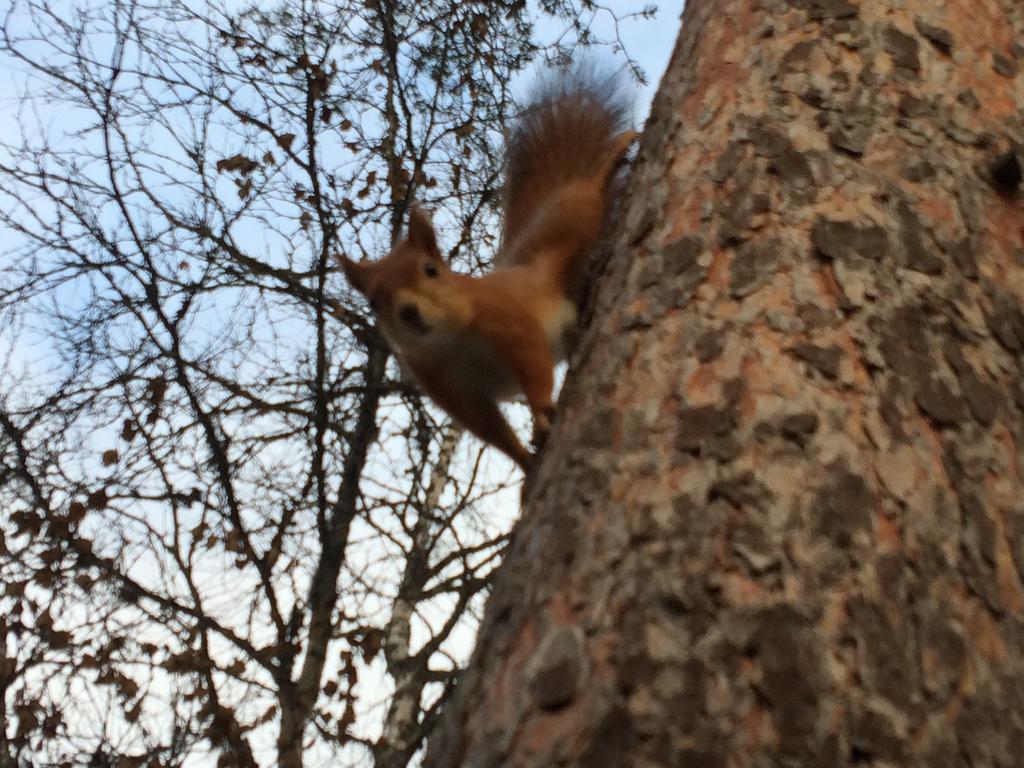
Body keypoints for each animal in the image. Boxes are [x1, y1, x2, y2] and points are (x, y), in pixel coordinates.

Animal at [339, 67, 634, 468]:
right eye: (372, 301)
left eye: (431, 270)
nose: (409, 312)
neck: (452, 339)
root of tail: (524, 265)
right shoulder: (449, 388)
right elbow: (491, 429)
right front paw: (526, 462)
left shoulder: (510, 322)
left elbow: (535, 368)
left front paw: (541, 413)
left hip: (570, 217)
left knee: (587, 190)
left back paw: (615, 154)